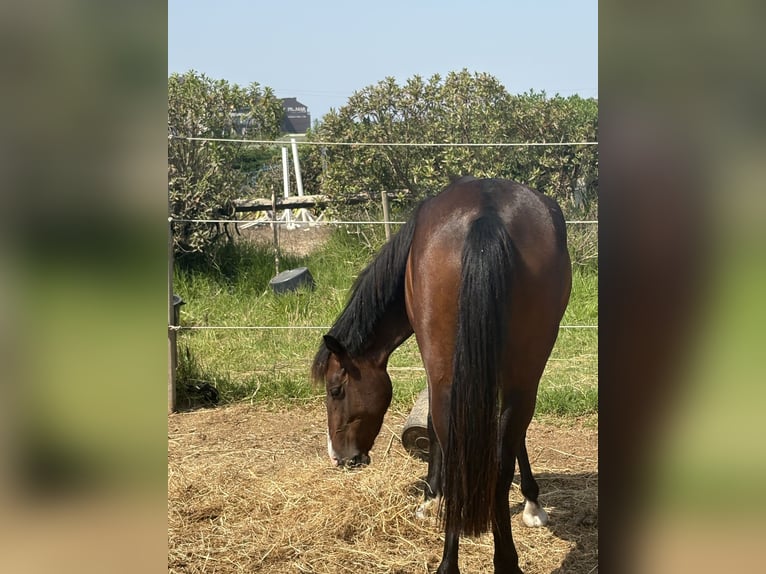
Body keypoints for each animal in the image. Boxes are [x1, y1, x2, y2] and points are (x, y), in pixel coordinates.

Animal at [311, 177, 572, 574]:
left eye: (336, 389)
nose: (339, 458)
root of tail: (486, 212)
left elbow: (433, 428)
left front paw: (431, 498)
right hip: (520, 378)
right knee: (498, 454)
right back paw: (501, 561)